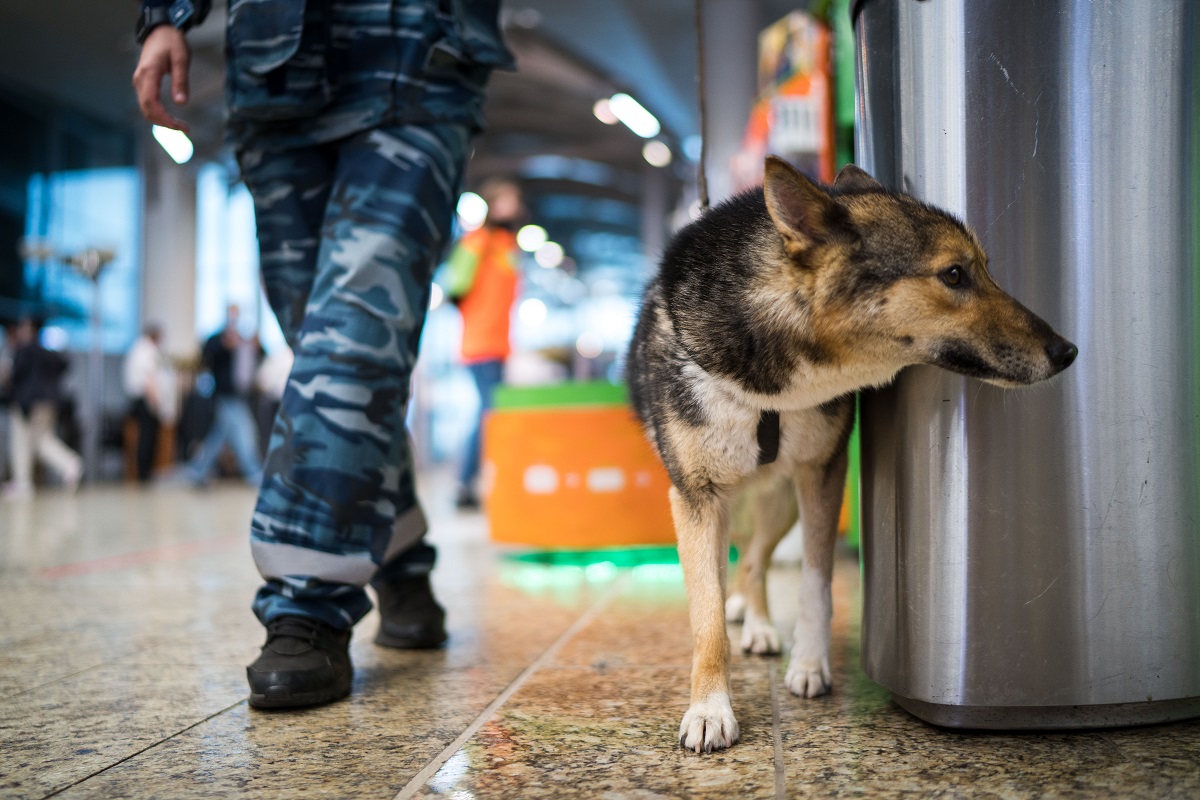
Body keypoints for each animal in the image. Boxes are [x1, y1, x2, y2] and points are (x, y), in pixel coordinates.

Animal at [628, 158, 1080, 758]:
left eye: (983, 269)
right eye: (954, 275)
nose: (1067, 351)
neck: (770, 390)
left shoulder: (822, 475)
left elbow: (817, 583)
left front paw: (809, 664)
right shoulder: (695, 497)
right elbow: (706, 618)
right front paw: (709, 709)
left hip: (779, 503)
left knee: (754, 561)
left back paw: (761, 624)